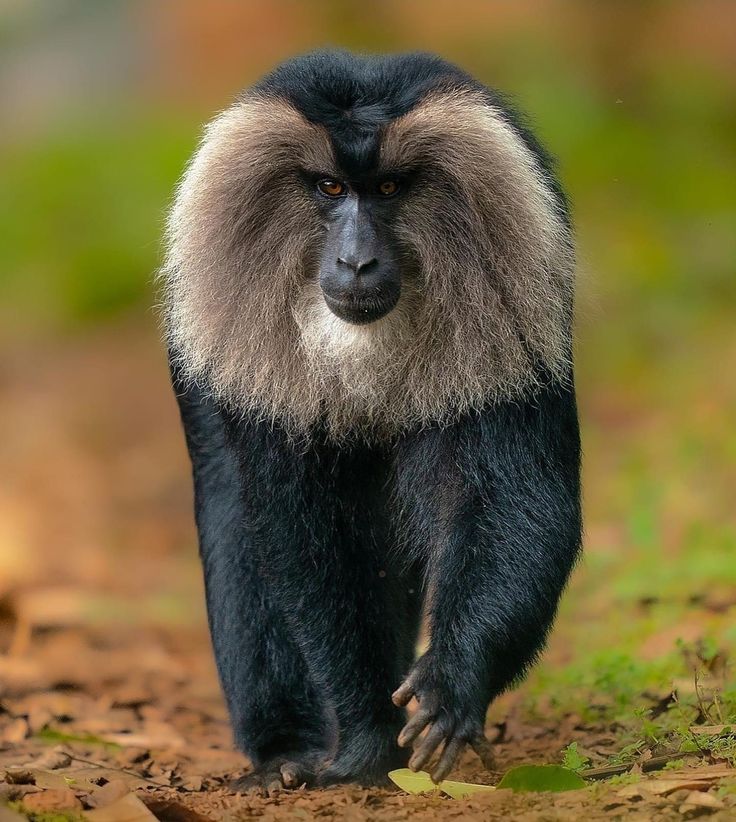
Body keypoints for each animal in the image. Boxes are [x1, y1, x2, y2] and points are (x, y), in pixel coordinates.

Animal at [161, 50, 580, 792]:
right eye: (329, 188)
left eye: (387, 187)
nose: (356, 261)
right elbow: (300, 536)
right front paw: (362, 746)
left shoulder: (516, 327)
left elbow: (517, 499)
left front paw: (451, 687)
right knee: (234, 519)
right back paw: (283, 756)